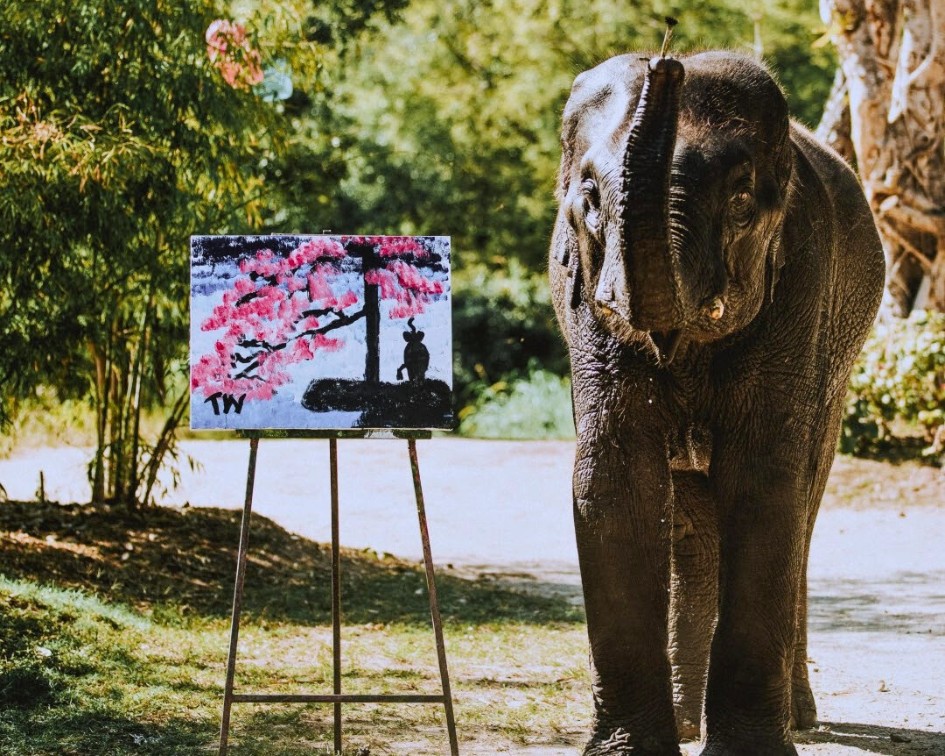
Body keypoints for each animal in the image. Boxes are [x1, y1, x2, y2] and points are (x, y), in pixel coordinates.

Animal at [549, 47, 885, 755]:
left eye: (740, 200)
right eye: (589, 199)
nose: (666, 62)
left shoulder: (802, 288)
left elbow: (764, 482)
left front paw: (752, 748)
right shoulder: (583, 299)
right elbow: (613, 482)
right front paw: (631, 750)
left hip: (839, 369)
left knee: (803, 503)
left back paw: (796, 717)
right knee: (694, 525)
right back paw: (688, 719)